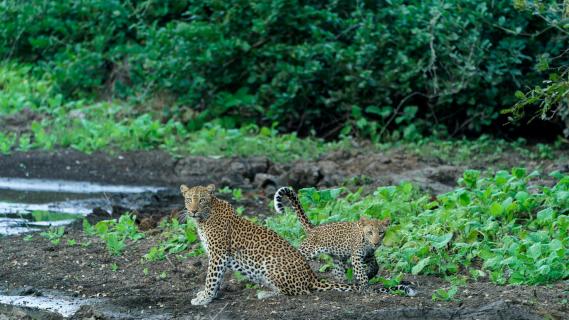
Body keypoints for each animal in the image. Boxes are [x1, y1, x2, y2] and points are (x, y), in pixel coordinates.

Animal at [179, 182, 356, 304]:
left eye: (202, 200)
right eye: (188, 200)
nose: (193, 211)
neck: (203, 219)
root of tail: (312, 276)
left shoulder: (218, 254)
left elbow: (211, 277)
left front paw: (205, 298)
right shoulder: (219, 256)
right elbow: (217, 278)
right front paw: (210, 295)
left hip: (271, 265)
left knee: (299, 292)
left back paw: (265, 294)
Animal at [272, 186, 414, 296]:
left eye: (381, 233)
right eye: (370, 232)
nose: (376, 243)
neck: (367, 243)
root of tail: (314, 228)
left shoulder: (369, 255)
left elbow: (376, 267)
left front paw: (369, 274)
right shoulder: (356, 256)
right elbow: (361, 273)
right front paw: (365, 286)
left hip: (338, 258)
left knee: (336, 272)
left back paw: (342, 284)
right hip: (307, 250)